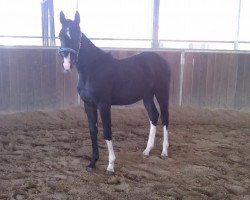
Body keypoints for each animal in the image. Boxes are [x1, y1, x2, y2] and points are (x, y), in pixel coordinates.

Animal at [58, 10, 171, 175]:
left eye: (77, 34)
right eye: (60, 35)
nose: (67, 64)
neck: (93, 69)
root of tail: (161, 60)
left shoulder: (104, 105)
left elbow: (107, 131)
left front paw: (110, 165)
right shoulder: (89, 105)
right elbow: (93, 130)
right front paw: (92, 163)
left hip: (162, 93)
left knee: (165, 117)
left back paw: (164, 152)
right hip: (147, 96)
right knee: (153, 116)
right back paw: (147, 151)